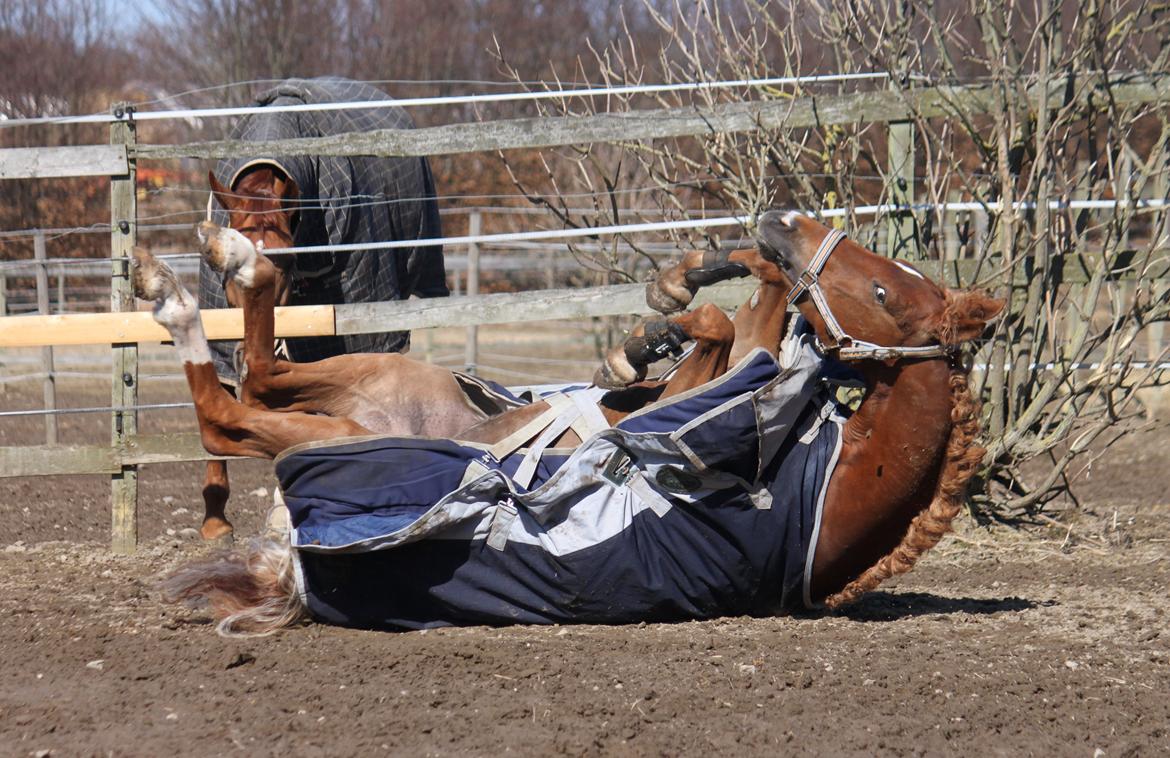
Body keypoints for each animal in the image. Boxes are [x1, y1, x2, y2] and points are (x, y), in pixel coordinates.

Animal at [143, 210, 1006, 636]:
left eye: (886, 294)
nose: (792, 219)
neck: (821, 485)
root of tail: (288, 563)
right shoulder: (738, 353)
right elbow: (744, 301)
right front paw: (670, 298)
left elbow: (717, 327)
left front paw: (644, 337)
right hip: (366, 383)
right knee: (256, 376)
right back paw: (209, 266)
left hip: (340, 430)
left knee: (231, 407)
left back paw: (196, 286)